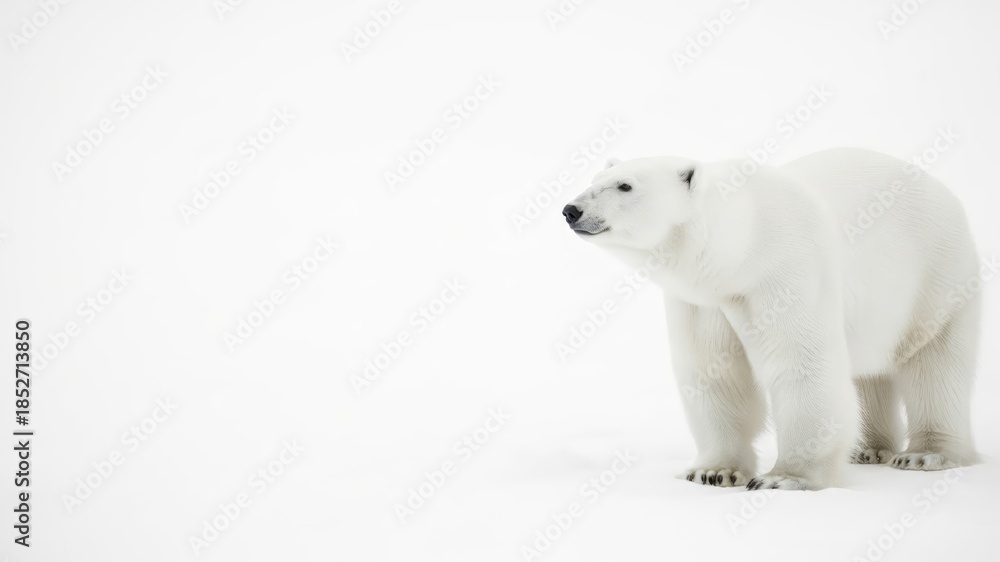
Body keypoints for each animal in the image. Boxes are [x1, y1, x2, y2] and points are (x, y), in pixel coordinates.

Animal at [562, 148, 981, 490]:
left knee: (935, 364)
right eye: (593, 180)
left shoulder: (786, 270)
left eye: (625, 185)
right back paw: (867, 450)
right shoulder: (705, 302)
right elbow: (715, 374)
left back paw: (925, 454)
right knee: (868, 372)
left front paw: (784, 477)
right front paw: (714, 471)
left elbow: (801, 362)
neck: (744, 243)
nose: (571, 210)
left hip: (935, 276)